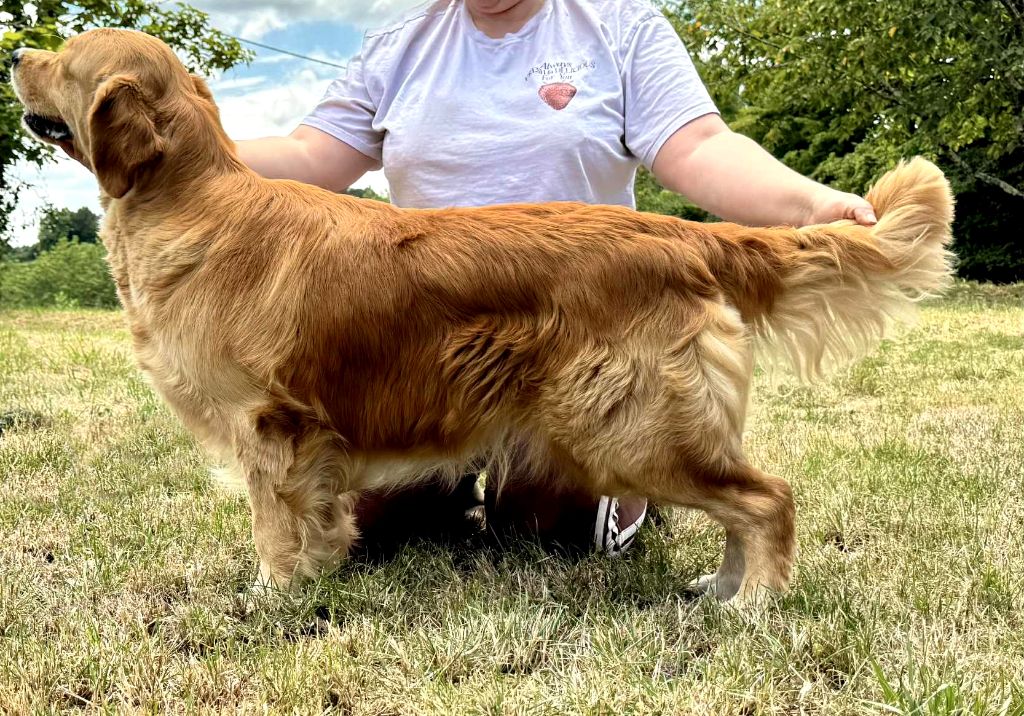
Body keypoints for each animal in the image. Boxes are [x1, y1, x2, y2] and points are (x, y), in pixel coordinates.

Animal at [11, 29, 955, 602]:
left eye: (64, 59)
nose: (17, 49)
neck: (191, 201)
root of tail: (680, 234)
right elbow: (314, 522)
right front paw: (315, 576)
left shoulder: (269, 424)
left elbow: (274, 527)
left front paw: (272, 596)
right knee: (748, 503)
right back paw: (720, 590)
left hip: (627, 430)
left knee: (768, 499)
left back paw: (751, 602)